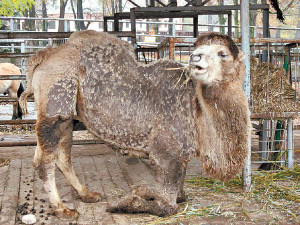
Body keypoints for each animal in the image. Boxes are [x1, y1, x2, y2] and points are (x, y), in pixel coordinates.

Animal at [19, 30, 252, 220]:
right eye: (197, 49)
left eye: (223, 54)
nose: (195, 57)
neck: (195, 105)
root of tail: (42, 57)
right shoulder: (166, 152)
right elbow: (169, 206)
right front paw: (126, 203)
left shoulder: (180, 153)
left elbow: (180, 194)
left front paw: (145, 192)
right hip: (54, 104)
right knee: (44, 161)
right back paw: (62, 209)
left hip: (67, 118)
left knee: (61, 157)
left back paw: (87, 194)